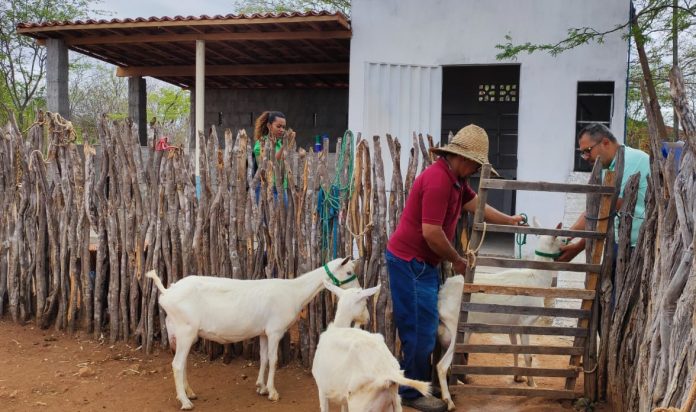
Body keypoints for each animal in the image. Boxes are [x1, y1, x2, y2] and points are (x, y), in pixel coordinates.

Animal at [143, 258, 356, 408]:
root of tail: (167, 292)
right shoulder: (275, 331)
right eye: (349, 271)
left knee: (183, 363)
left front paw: (261, 387)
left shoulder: (263, 332)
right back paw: (185, 402)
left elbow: (264, 358)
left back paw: (190, 393)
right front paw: (272, 392)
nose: (359, 289)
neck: (294, 291)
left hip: (183, 334)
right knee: (177, 364)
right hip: (185, 330)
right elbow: (274, 360)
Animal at [314, 282, 432, 410]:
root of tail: (388, 372)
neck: (338, 327)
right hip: (395, 403)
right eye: (365, 302)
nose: (368, 318)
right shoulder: (342, 398)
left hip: (360, 405)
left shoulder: (322, 389)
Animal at [438, 224, 568, 410]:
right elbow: (528, 355)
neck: (537, 280)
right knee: (441, 365)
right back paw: (448, 400)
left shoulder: (512, 324)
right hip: (457, 328)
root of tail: (442, 292)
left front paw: (518, 377)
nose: (572, 241)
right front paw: (532, 384)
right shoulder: (527, 322)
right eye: (564, 239)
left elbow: (515, 349)